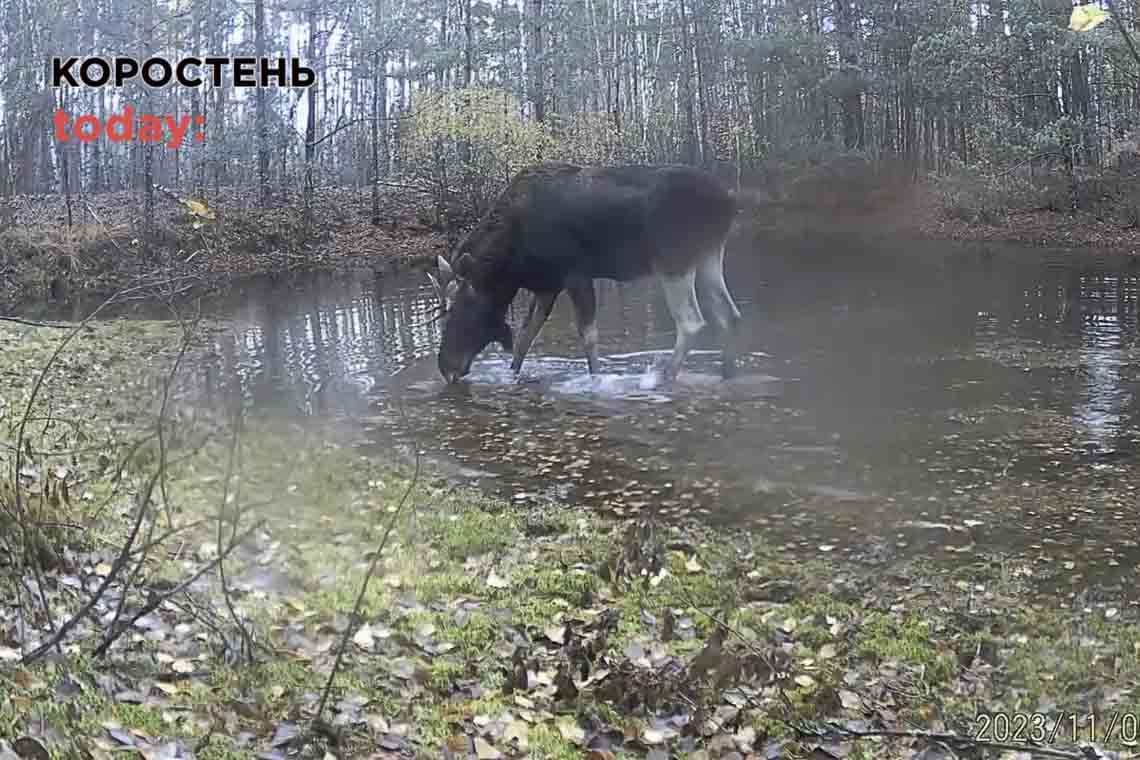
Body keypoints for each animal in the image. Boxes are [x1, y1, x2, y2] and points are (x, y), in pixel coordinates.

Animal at [426, 161, 738, 387]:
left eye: (459, 309)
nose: (445, 367)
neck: (511, 261)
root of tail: (729, 203)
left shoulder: (575, 274)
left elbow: (587, 336)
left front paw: (596, 380)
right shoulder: (547, 286)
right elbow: (525, 338)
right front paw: (511, 376)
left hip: (673, 261)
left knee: (691, 322)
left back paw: (662, 378)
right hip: (709, 255)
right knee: (728, 314)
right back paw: (728, 373)